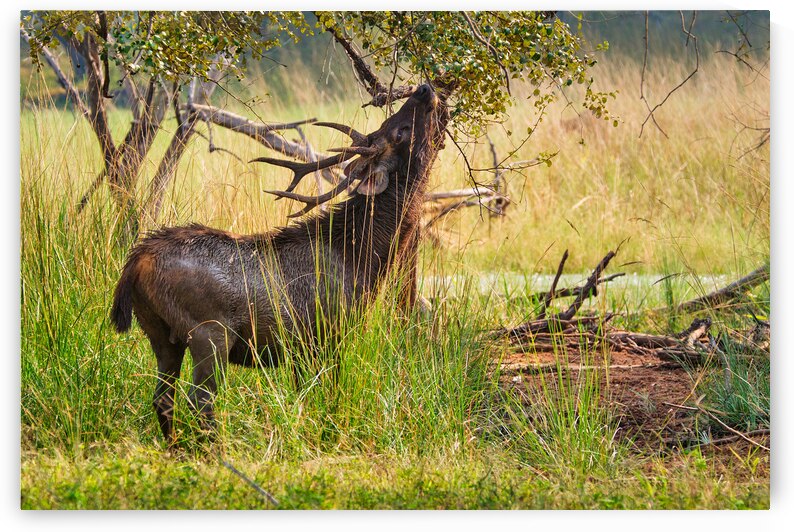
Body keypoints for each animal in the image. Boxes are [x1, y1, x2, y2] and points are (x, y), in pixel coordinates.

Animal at [110, 84, 445, 442]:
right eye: (400, 130)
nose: (425, 89)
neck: (363, 259)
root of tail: (135, 263)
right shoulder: (328, 334)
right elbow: (327, 395)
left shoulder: (303, 349)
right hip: (209, 332)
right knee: (199, 400)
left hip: (159, 332)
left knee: (163, 398)